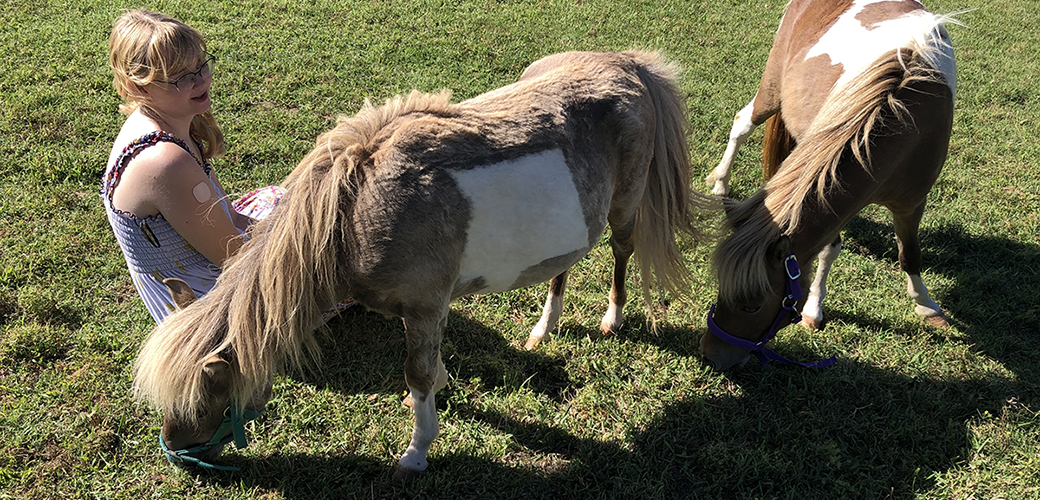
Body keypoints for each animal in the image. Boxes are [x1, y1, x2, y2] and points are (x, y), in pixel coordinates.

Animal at [132, 50, 715, 476]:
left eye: (204, 397)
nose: (177, 452)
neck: (351, 213)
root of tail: (628, 63)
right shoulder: (421, 309)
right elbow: (427, 368)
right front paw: (442, 389)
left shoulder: (425, 306)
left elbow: (416, 373)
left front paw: (416, 453)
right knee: (562, 265)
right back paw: (543, 328)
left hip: (625, 208)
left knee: (621, 252)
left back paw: (613, 316)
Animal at [698, 0, 956, 367]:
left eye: (751, 305)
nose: (711, 354)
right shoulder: (830, 187)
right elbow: (829, 249)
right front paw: (813, 308)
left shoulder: (911, 203)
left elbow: (910, 255)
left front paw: (927, 306)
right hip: (772, 89)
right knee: (743, 123)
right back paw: (720, 182)